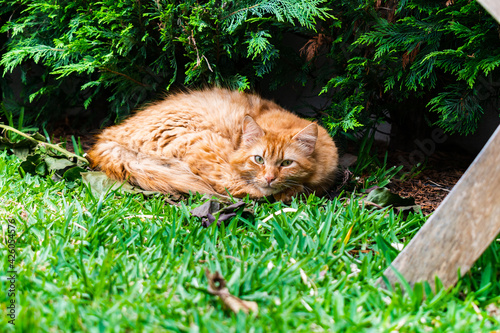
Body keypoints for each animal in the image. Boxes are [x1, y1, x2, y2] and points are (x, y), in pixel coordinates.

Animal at [89, 87, 340, 200]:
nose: (270, 178)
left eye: (287, 163)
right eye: (258, 159)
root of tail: (109, 138)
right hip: (203, 142)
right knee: (228, 186)